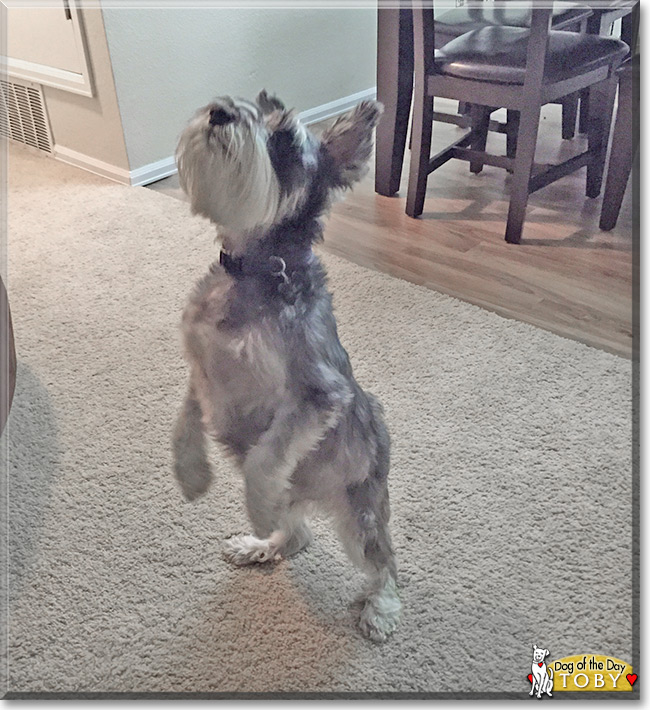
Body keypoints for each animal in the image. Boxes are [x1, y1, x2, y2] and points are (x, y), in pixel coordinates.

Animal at [170, 92, 398, 644]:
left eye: (285, 142)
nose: (220, 111)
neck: (253, 269)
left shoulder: (316, 395)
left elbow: (264, 460)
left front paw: (255, 505)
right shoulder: (199, 367)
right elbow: (183, 423)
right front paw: (191, 475)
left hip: (359, 511)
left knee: (382, 563)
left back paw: (379, 609)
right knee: (298, 533)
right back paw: (262, 545)